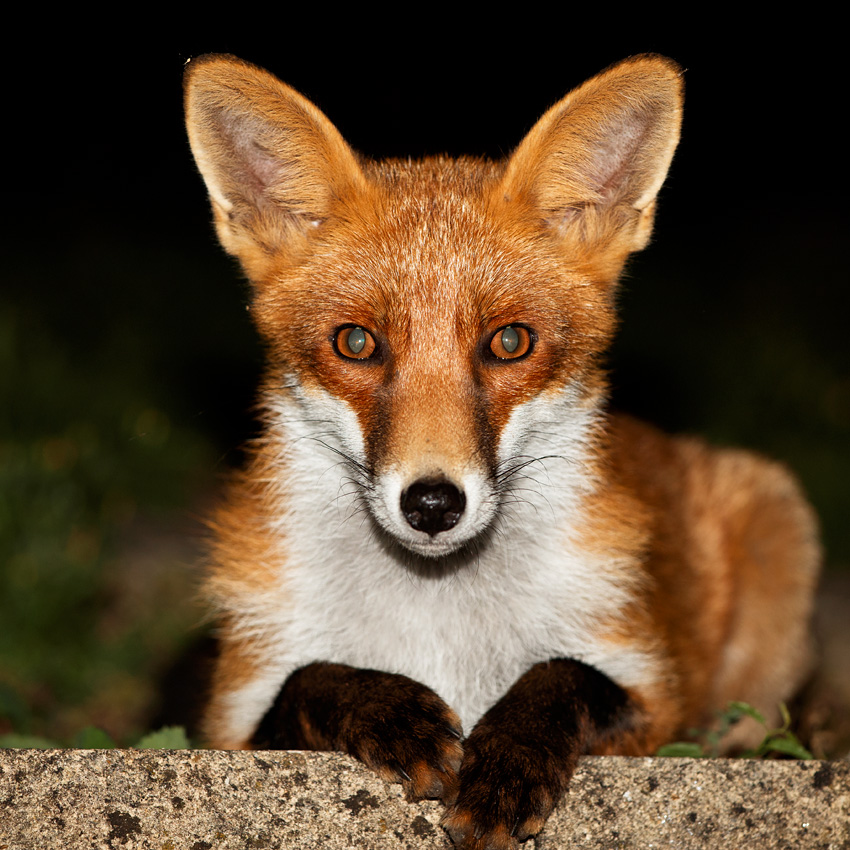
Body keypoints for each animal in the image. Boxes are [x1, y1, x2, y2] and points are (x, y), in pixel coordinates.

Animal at [183, 54, 820, 848]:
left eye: (509, 341)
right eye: (355, 343)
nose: (432, 504)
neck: (439, 622)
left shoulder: (651, 696)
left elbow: (564, 674)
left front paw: (509, 761)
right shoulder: (235, 714)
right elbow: (309, 682)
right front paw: (388, 711)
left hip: (778, 533)